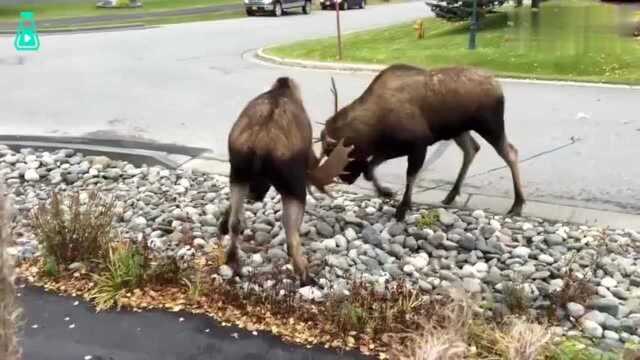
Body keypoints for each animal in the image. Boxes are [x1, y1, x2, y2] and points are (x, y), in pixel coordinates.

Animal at [218, 77, 352, 286]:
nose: (256, 194)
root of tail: (260, 144)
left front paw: (221, 225)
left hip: (238, 172)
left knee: (236, 222)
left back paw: (232, 261)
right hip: (294, 186)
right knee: (291, 236)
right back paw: (306, 276)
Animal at [320, 65, 524, 222]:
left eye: (337, 153)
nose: (344, 179)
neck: (374, 129)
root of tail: (498, 86)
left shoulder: (418, 145)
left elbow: (410, 175)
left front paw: (403, 208)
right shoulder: (390, 148)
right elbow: (370, 169)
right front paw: (386, 192)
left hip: (490, 125)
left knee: (510, 152)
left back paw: (518, 204)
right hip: (458, 130)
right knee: (472, 149)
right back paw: (451, 195)